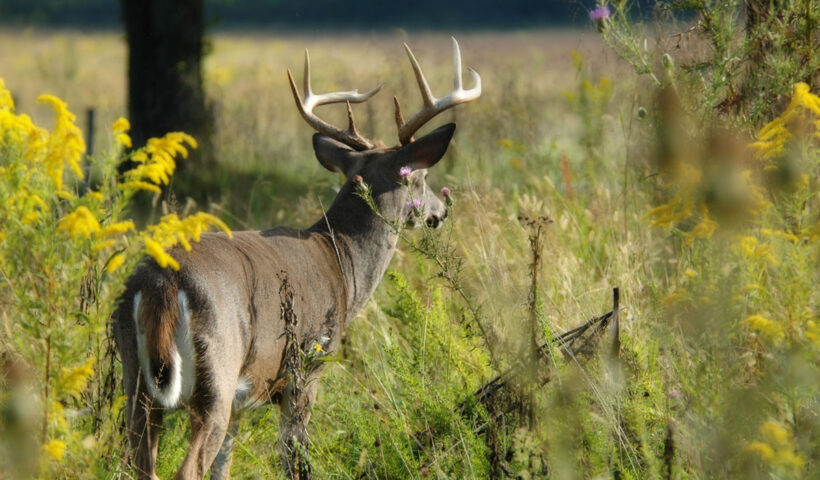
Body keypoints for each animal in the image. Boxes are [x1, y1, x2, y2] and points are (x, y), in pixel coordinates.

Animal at [113, 38, 480, 480]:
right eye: (420, 178)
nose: (439, 213)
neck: (341, 263)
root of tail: (160, 284)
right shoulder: (306, 368)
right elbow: (296, 459)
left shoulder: (244, 397)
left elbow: (225, 466)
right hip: (217, 368)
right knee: (187, 468)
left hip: (135, 380)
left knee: (141, 461)